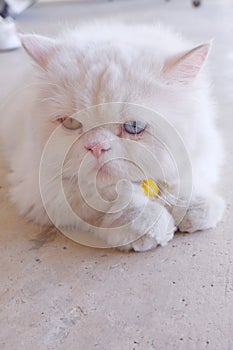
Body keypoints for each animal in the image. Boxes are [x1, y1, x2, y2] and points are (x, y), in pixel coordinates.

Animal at [0, 22, 226, 252]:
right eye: (71, 123)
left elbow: (182, 174)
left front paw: (194, 205)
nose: (96, 147)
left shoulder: (202, 149)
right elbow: (114, 194)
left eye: (133, 127)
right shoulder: (40, 188)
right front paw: (146, 223)